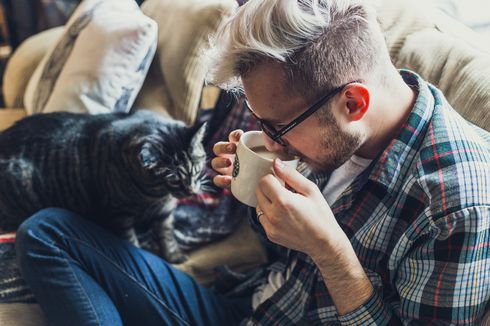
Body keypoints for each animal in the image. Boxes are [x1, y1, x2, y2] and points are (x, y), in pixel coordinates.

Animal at [0, 111, 208, 264]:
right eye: (173, 180)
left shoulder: (164, 213)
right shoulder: (119, 215)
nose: (191, 191)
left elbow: (167, 235)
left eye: (196, 170)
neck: (154, 197)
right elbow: (130, 241)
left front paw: (173, 255)